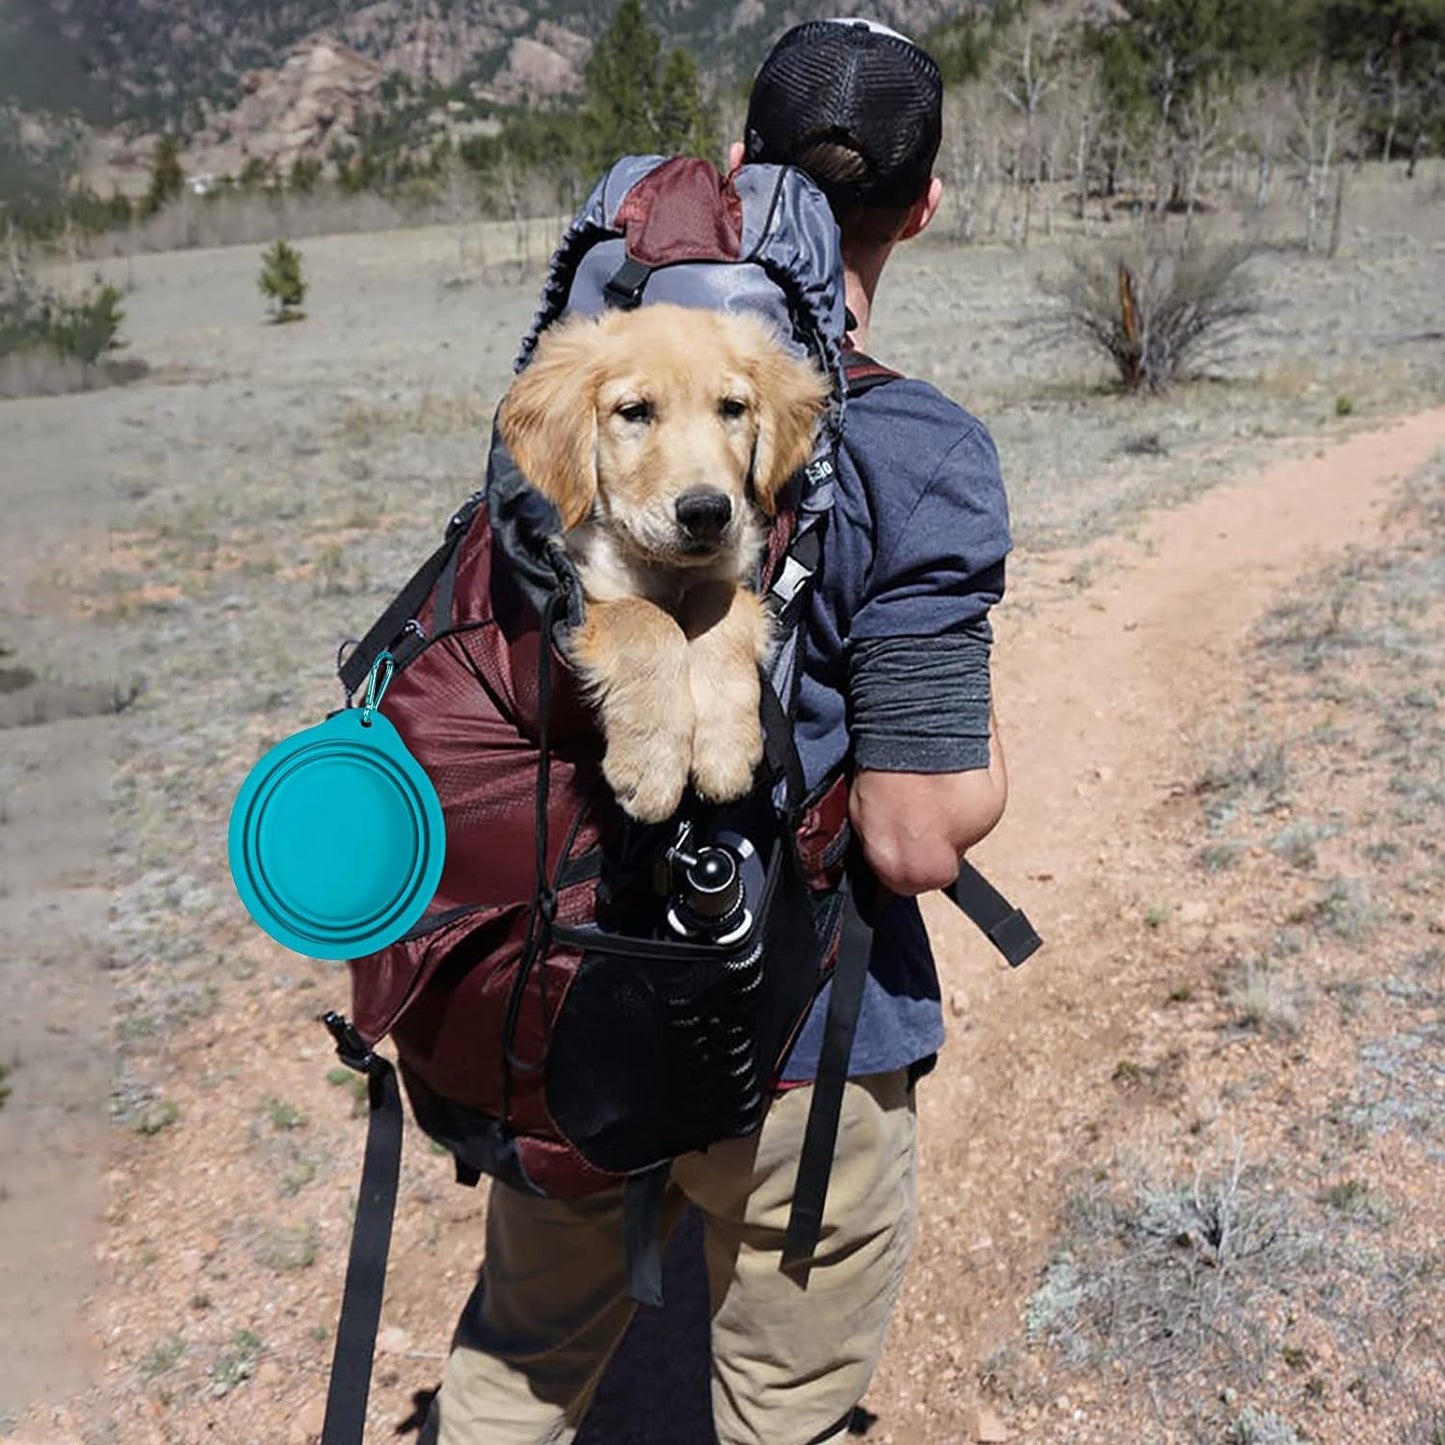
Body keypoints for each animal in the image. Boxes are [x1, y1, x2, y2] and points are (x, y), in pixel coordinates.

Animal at [502, 304, 832, 826]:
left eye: (732, 408)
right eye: (635, 412)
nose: (706, 512)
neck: (667, 568)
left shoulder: (733, 575)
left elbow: (718, 605)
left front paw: (724, 748)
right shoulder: (585, 591)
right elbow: (646, 620)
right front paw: (652, 764)